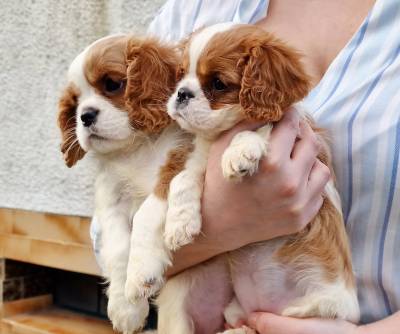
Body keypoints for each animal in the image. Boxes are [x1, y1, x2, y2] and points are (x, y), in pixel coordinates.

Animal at [57, 34, 193, 334]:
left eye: (112, 84)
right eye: (75, 102)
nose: (84, 116)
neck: (134, 147)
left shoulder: (177, 163)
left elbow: (145, 215)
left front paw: (142, 272)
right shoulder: (111, 200)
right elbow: (119, 247)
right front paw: (125, 306)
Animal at [157, 23, 360, 334]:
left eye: (218, 83)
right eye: (181, 74)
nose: (182, 94)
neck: (218, 136)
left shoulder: (292, 131)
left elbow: (258, 129)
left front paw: (239, 152)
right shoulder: (201, 162)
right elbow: (182, 179)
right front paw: (179, 225)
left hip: (323, 310)